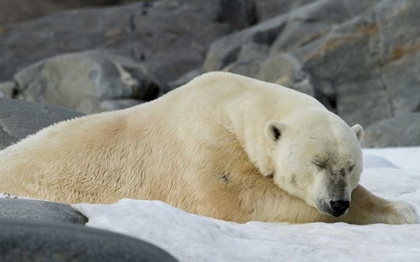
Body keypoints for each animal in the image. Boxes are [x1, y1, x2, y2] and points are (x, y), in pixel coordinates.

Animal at [0, 72, 416, 225]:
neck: (230, 102)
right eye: (316, 163)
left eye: (350, 166)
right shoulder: (204, 148)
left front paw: (399, 207)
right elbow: (243, 201)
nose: (337, 202)